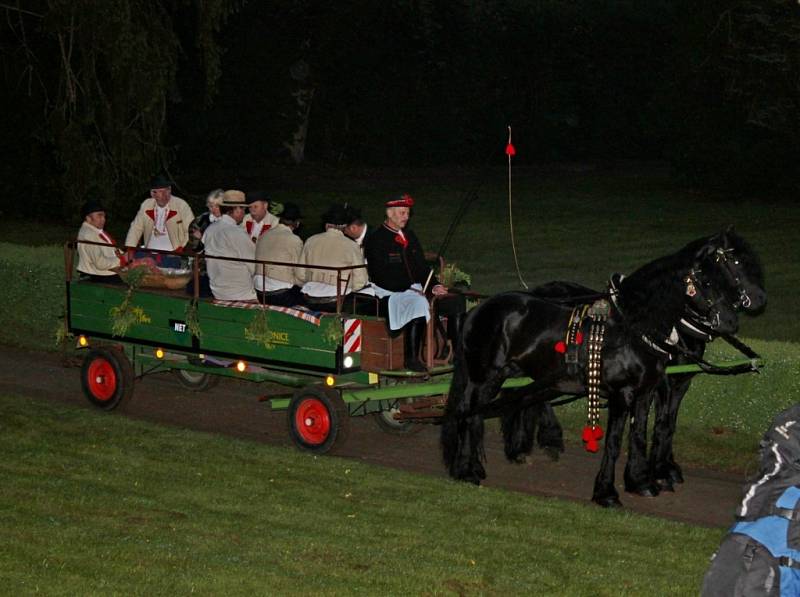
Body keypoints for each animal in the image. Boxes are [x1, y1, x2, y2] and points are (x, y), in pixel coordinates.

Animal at [440, 230, 740, 506]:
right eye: (706, 281)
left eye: (728, 279)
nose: (730, 321)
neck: (632, 329)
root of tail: (476, 310)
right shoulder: (624, 394)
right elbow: (615, 442)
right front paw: (606, 493)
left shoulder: (649, 392)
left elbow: (642, 434)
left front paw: (641, 481)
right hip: (484, 376)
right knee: (468, 414)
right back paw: (465, 470)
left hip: (503, 374)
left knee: (480, 413)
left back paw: (479, 464)